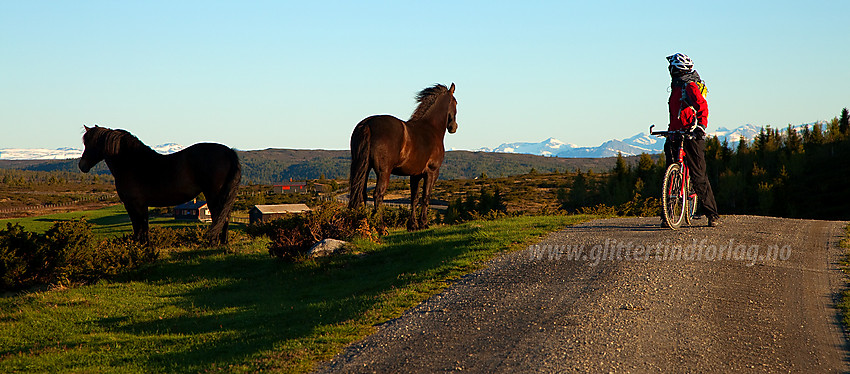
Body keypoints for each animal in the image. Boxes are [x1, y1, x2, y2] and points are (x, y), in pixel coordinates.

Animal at [78, 126, 240, 245]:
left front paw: (139, 247)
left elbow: (139, 226)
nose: (82, 165)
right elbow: (143, 227)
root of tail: (228, 151)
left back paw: (213, 242)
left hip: (214, 194)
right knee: (224, 217)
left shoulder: (134, 204)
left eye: (91, 144)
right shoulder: (140, 205)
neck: (132, 163)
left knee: (218, 216)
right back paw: (223, 243)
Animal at [348, 82, 458, 229]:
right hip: (383, 172)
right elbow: (426, 197)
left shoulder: (415, 175)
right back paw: (381, 227)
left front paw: (412, 225)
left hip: (364, 168)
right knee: (378, 195)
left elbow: (414, 198)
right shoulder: (432, 172)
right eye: (455, 102)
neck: (431, 128)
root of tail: (368, 124)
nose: (453, 127)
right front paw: (423, 223)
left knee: (361, 194)